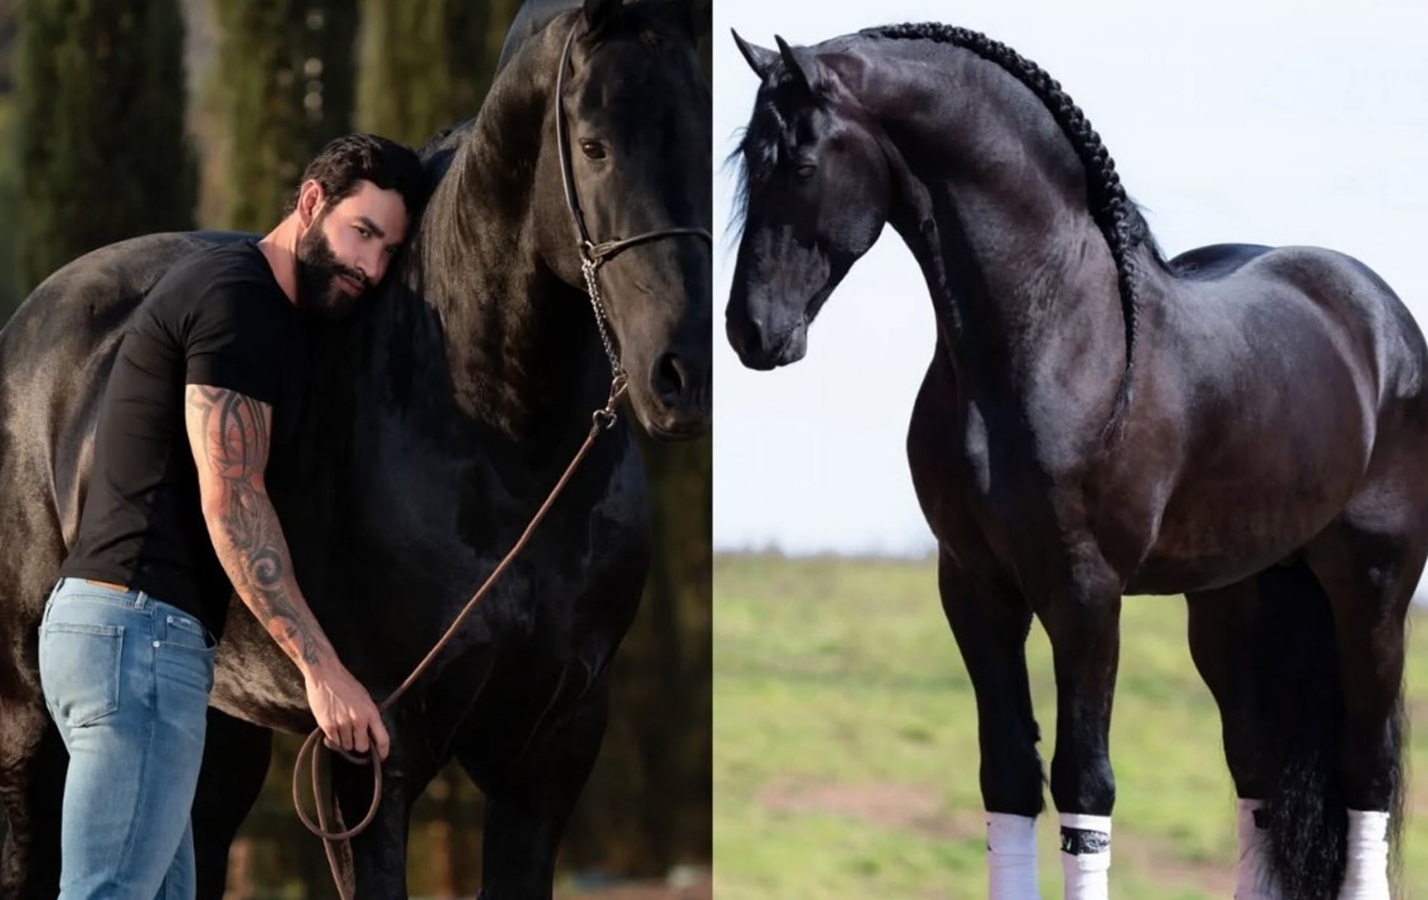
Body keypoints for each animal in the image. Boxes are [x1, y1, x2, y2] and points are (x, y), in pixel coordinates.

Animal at [0, 0, 710, 895]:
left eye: (707, 136)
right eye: (592, 145)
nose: (682, 375)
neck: (504, 449)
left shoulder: (551, 753)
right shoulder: (370, 760)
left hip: (216, 737)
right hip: (28, 716)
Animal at [724, 21, 1427, 900]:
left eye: (802, 162)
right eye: (747, 159)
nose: (751, 331)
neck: (1051, 333)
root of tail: (1379, 318)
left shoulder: (1086, 594)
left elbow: (1085, 785)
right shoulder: (975, 587)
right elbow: (1008, 778)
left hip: (1372, 590)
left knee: (1367, 770)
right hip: (1236, 603)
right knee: (1259, 775)